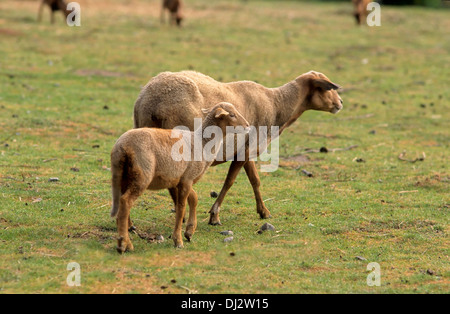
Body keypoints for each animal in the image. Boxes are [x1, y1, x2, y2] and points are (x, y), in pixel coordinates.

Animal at [110, 103, 250, 253]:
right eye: (232, 115)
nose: (248, 125)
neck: (202, 143)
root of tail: (122, 146)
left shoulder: (183, 179)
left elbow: (194, 198)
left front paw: (189, 231)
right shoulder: (187, 179)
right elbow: (181, 207)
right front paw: (178, 240)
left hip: (123, 176)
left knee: (121, 203)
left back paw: (124, 237)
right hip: (141, 175)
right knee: (125, 202)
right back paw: (125, 244)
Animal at [134, 70, 344, 226]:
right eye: (326, 88)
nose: (340, 103)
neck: (277, 105)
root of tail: (151, 102)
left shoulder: (246, 151)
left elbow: (255, 180)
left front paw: (263, 212)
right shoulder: (246, 150)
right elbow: (230, 182)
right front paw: (215, 215)